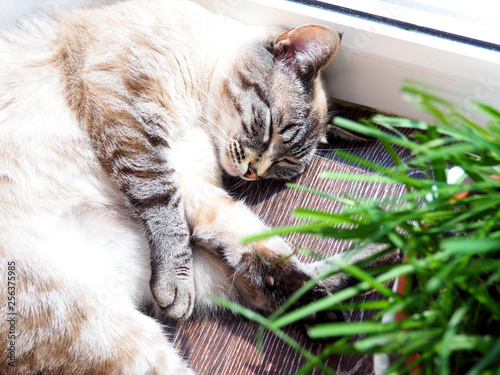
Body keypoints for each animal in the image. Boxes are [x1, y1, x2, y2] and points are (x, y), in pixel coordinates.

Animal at [0, 0, 394, 375]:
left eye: (284, 165)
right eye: (269, 130)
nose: (253, 173)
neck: (200, 113)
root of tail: (122, 286)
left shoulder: (191, 183)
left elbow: (198, 221)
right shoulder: (126, 112)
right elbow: (162, 204)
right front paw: (175, 283)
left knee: (273, 275)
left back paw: (383, 258)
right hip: (110, 329)